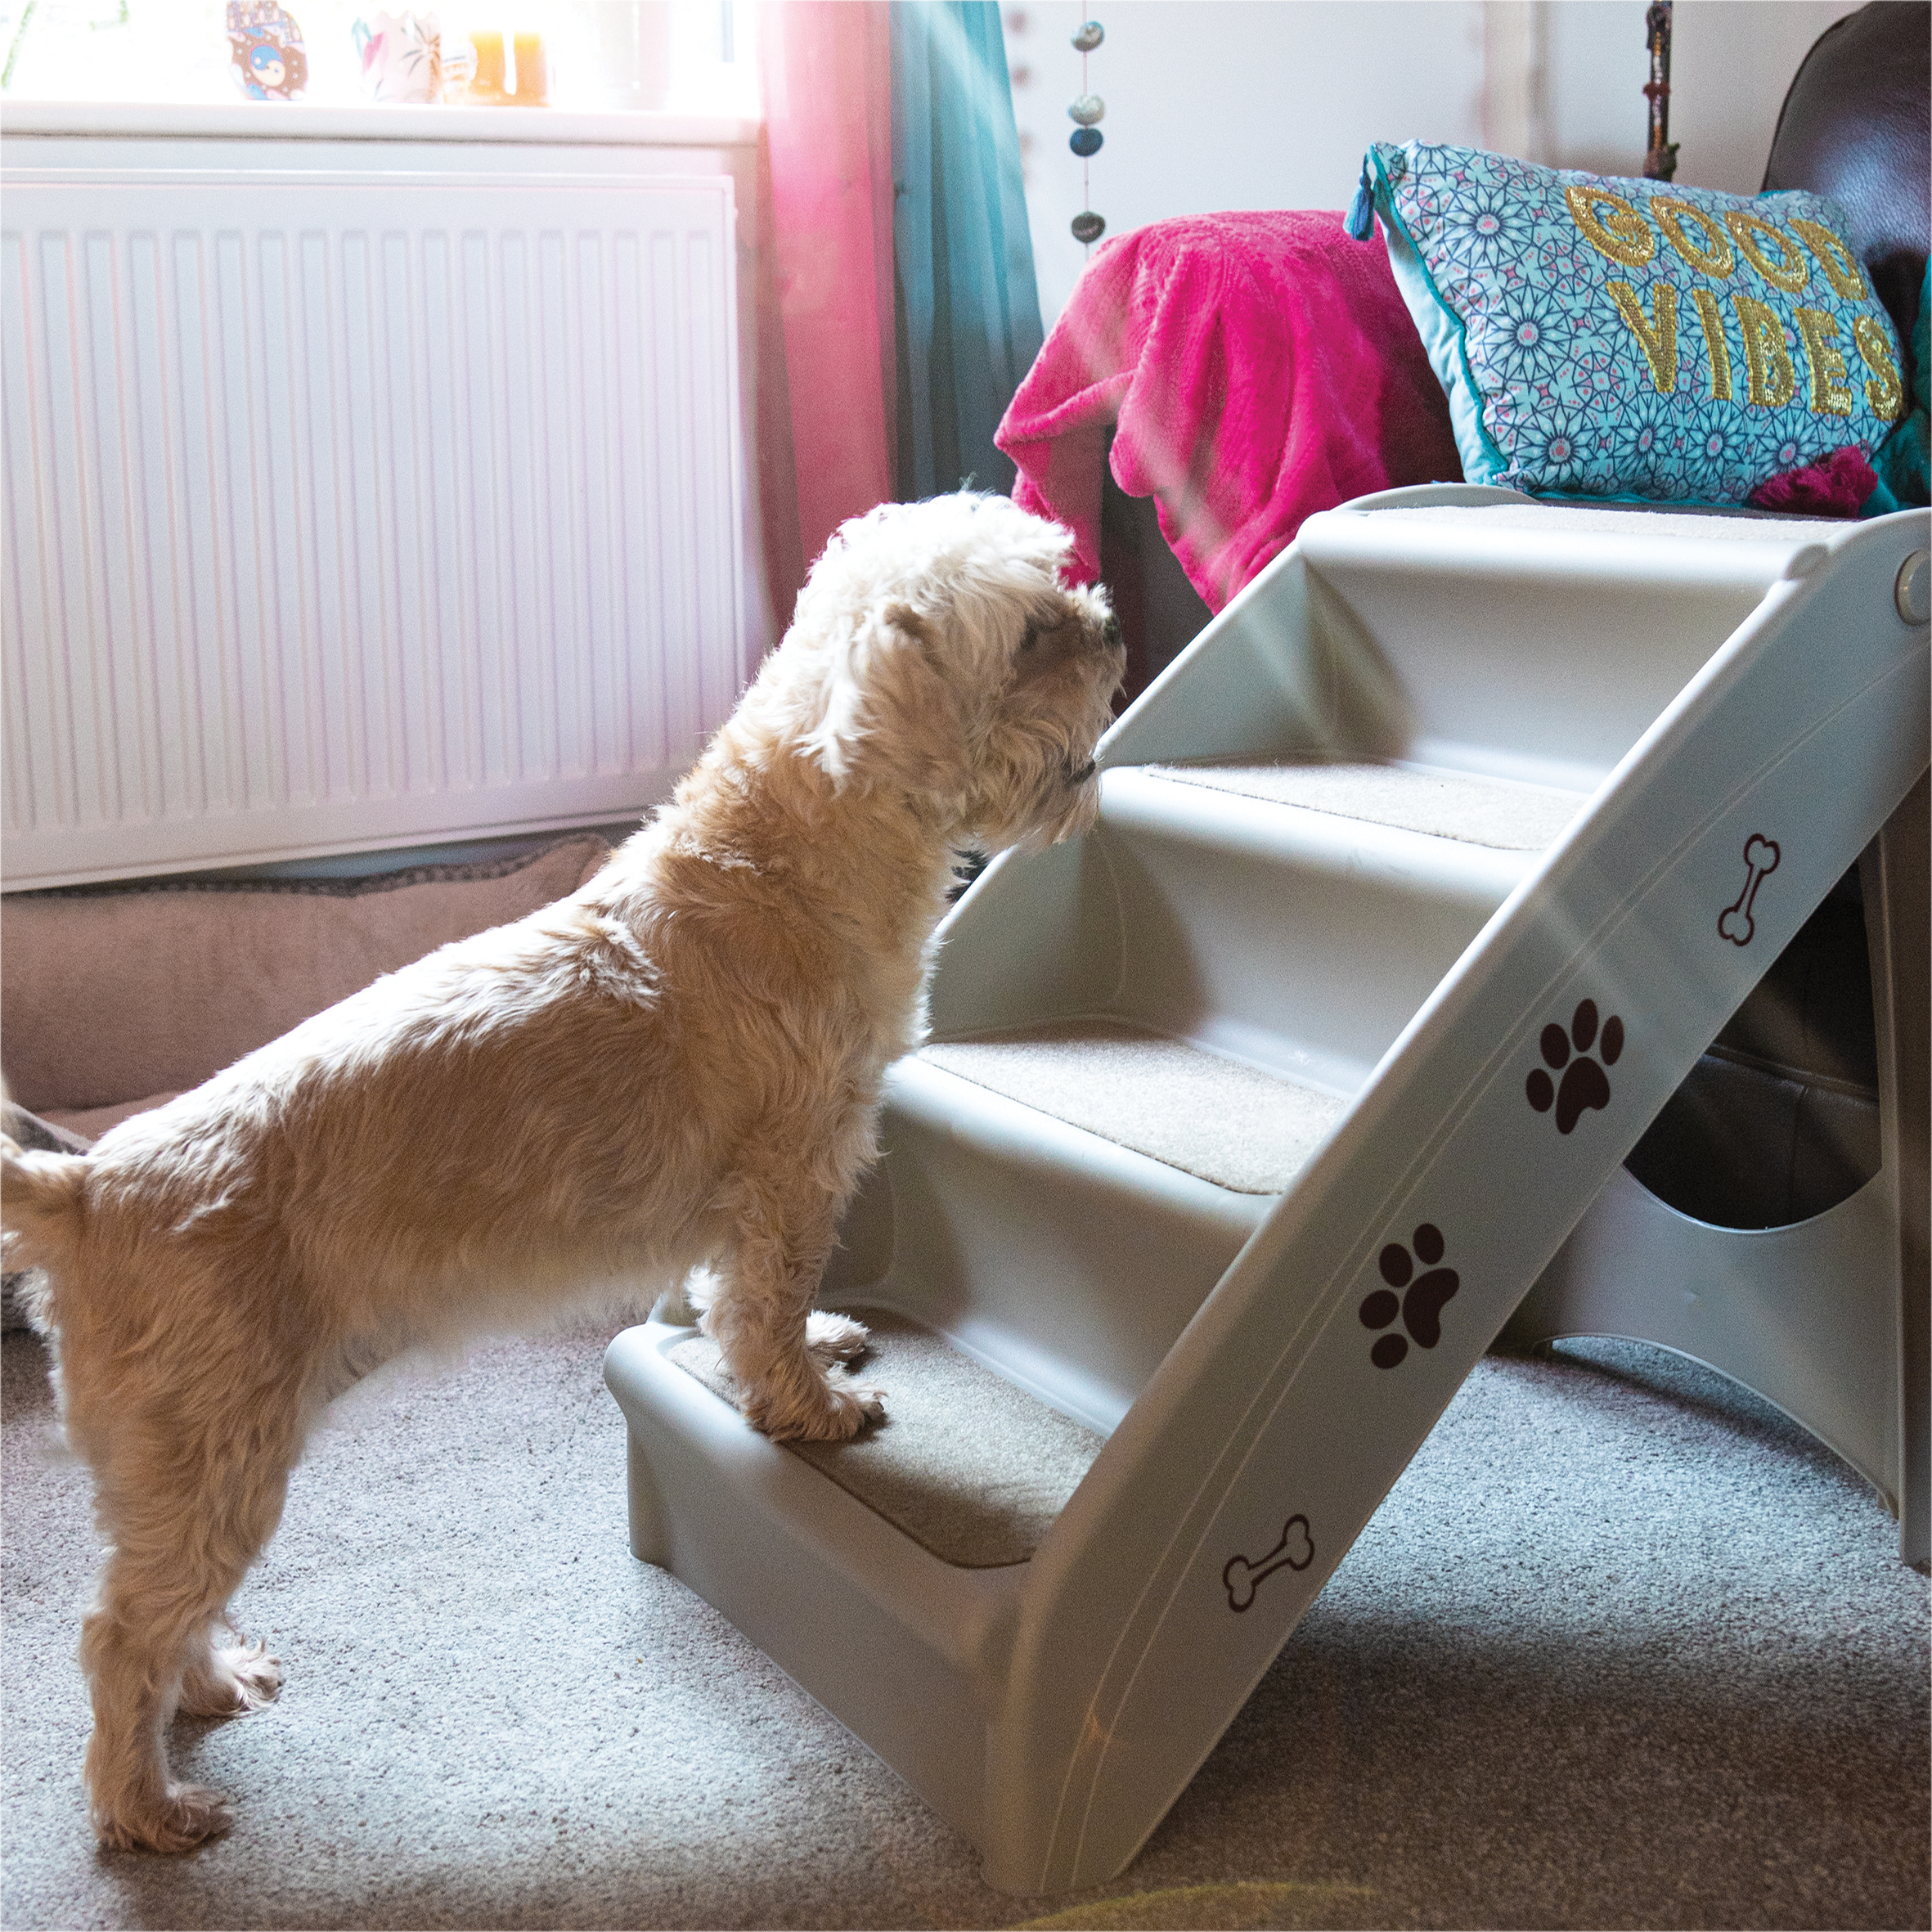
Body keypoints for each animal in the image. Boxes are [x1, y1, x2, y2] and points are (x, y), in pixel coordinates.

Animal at [0, 491, 1123, 1855]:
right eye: (1029, 632)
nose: (1115, 630)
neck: (788, 860)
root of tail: (88, 1186)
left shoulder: (755, 1197)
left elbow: (740, 1301)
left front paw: (814, 1342)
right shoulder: (792, 1173)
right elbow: (765, 1313)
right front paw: (811, 1404)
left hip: (198, 1464)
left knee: (161, 1613)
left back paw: (210, 1685)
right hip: (215, 1449)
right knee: (117, 1633)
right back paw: (145, 1806)